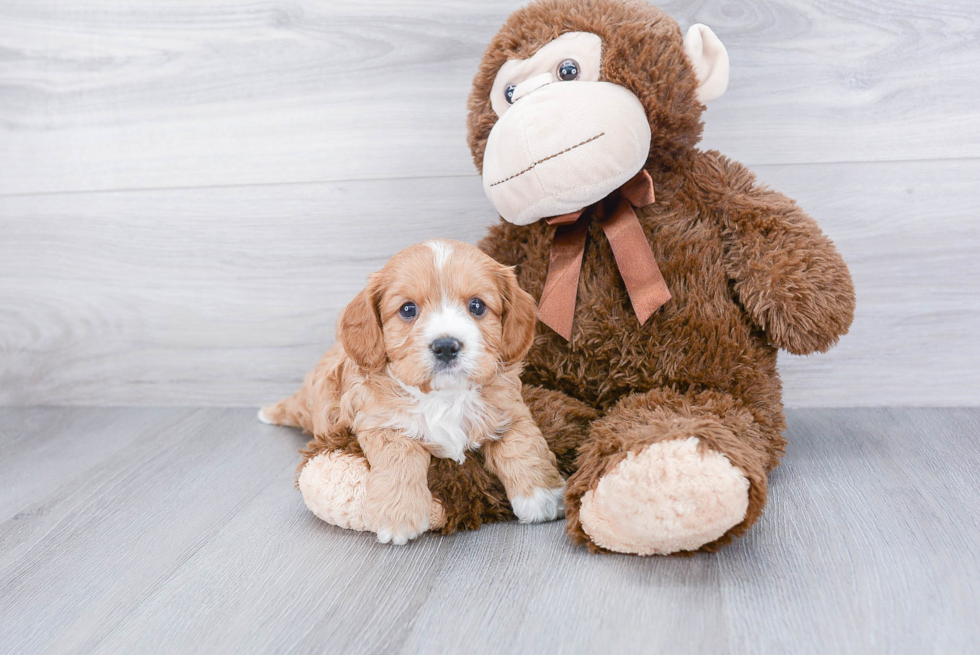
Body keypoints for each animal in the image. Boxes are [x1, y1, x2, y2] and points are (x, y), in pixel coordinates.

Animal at [260, 238, 568, 544]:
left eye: (477, 305)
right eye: (408, 310)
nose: (446, 346)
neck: (444, 396)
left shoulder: (510, 410)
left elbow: (523, 444)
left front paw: (542, 497)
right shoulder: (384, 425)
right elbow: (401, 458)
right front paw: (398, 517)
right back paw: (268, 412)